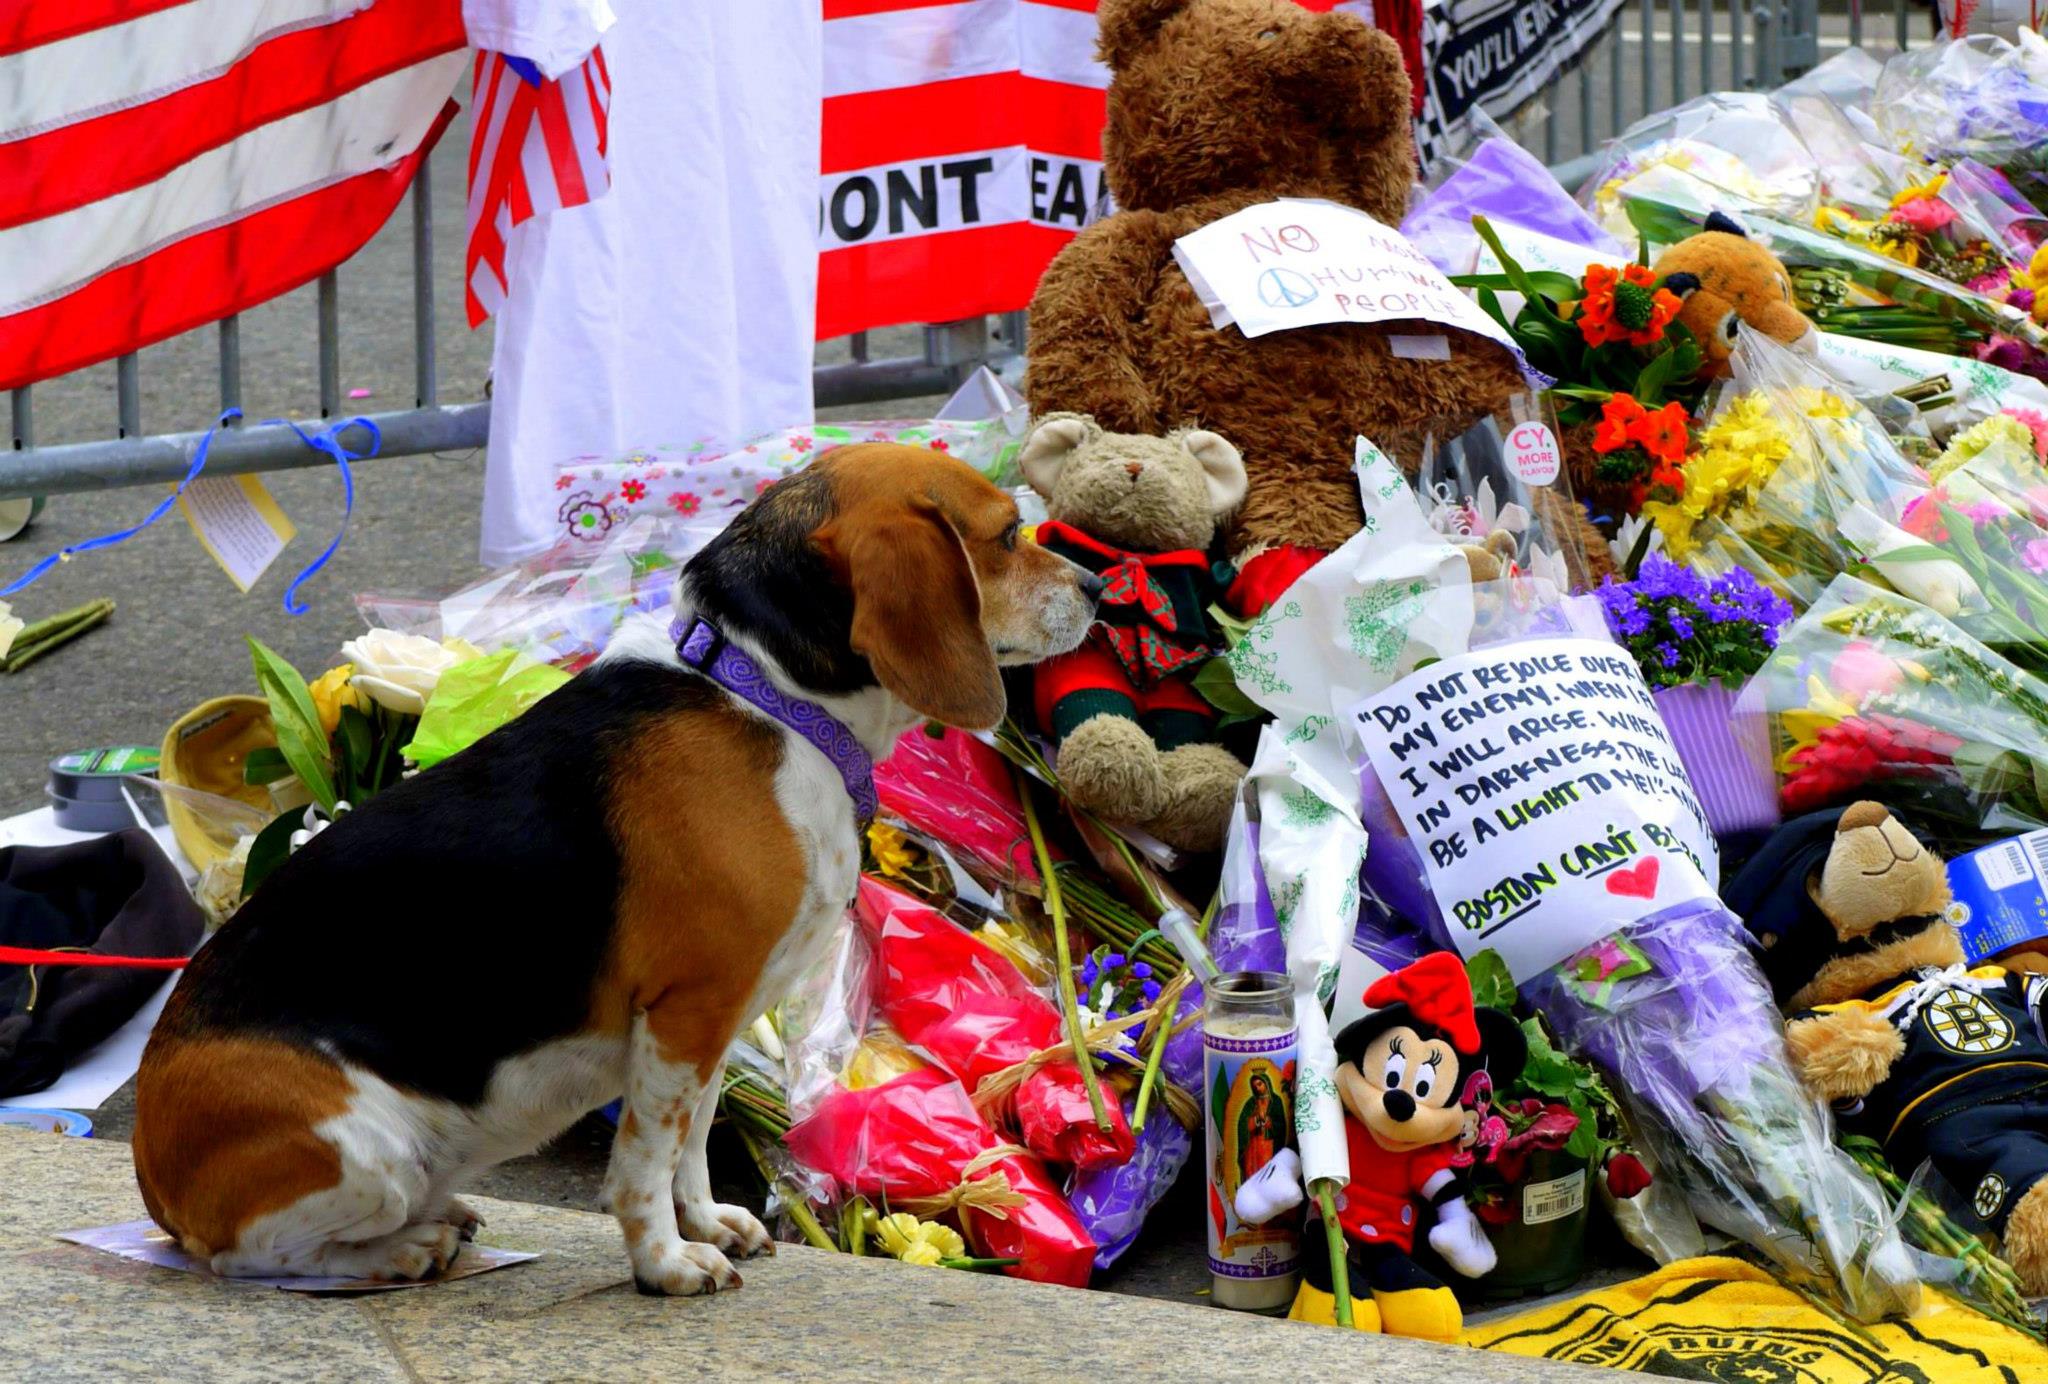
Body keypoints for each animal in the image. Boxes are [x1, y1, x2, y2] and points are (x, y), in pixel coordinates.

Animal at [130, 446, 1105, 1293]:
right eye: (1007, 534)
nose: (1097, 585)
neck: (766, 691)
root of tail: (148, 1164)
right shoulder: (686, 1010)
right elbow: (645, 1157)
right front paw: (666, 1263)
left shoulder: (718, 1016)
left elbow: (695, 1138)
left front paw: (707, 1225)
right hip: (368, 1151)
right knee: (249, 1256)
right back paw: (403, 1250)